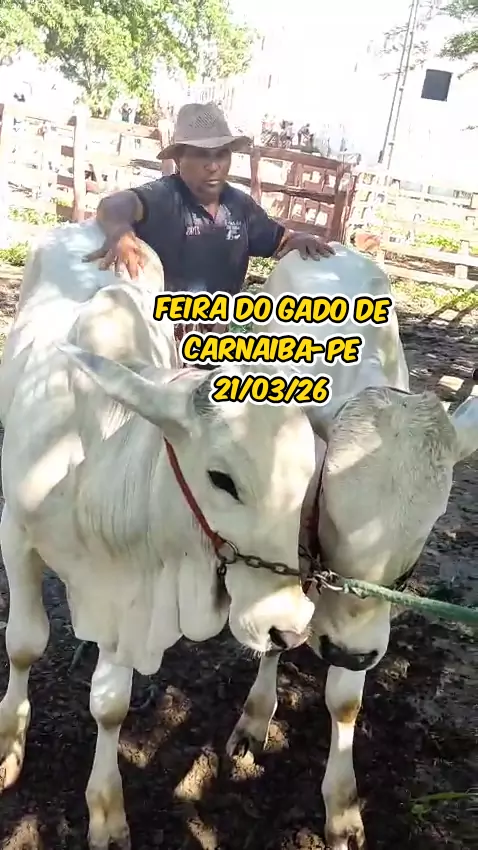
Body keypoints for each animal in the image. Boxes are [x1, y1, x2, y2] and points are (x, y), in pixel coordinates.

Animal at [0, 219, 317, 850]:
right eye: (221, 478)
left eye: (306, 481)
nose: (289, 628)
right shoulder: (15, 536)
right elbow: (23, 643)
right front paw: (8, 745)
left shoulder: (131, 590)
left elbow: (110, 704)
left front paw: (106, 810)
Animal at [225, 244, 478, 850]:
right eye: (329, 508)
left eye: (430, 526)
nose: (351, 653)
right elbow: (272, 640)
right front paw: (255, 718)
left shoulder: (366, 618)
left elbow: (344, 701)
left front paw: (342, 808)